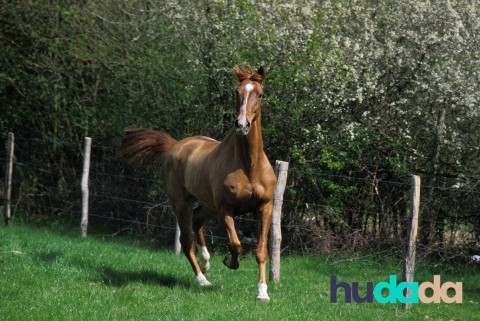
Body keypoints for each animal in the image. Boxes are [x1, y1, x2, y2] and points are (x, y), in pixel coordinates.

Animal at [121, 65, 278, 300]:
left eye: (260, 94)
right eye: (237, 92)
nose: (242, 124)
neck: (249, 166)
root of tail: (175, 146)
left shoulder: (265, 207)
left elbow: (260, 251)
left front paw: (263, 293)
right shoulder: (225, 208)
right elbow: (235, 244)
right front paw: (230, 262)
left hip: (207, 205)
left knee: (197, 221)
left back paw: (206, 262)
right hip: (182, 203)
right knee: (187, 241)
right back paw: (203, 279)